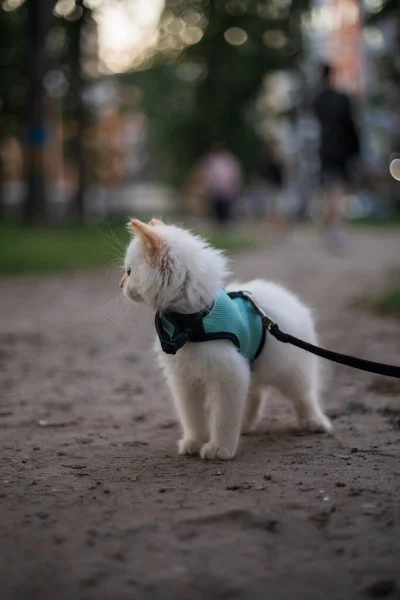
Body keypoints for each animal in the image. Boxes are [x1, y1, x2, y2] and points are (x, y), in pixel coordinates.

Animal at [120, 219, 332, 460]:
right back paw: (246, 424)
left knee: (304, 395)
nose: (121, 285)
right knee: (255, 395)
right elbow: (192, 416)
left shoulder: (228, 376)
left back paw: (313, 421)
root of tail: (286, 296)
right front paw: (195, 442)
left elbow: (223, 419)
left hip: (290, 370)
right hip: (253, 363)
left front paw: (219, 448)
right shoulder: (185, 381)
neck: (189, 321)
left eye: (129, 271)